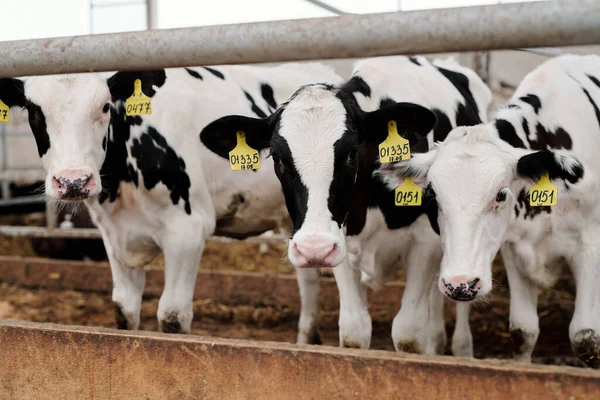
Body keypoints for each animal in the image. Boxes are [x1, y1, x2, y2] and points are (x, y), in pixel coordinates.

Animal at [0, 61, 344, 332]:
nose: (73, 181)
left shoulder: (188, 231)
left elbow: (172, 316)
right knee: (308, 279)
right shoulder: (114, 236)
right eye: (34, 112)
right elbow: (124, 312)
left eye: (105, 106)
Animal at [202, 55, 492, 354]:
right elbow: (355, 330)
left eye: (352, 153)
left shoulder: (425, 242)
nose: (313, 248)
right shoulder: (340, 243)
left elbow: (408, 334)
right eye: (278, 158)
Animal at [376, 54, 600, 368]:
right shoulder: (515, 247)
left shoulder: (589, 245)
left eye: (501, 194)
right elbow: (523, 332)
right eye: (432, 195)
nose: (460, 284)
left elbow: (585, 338)